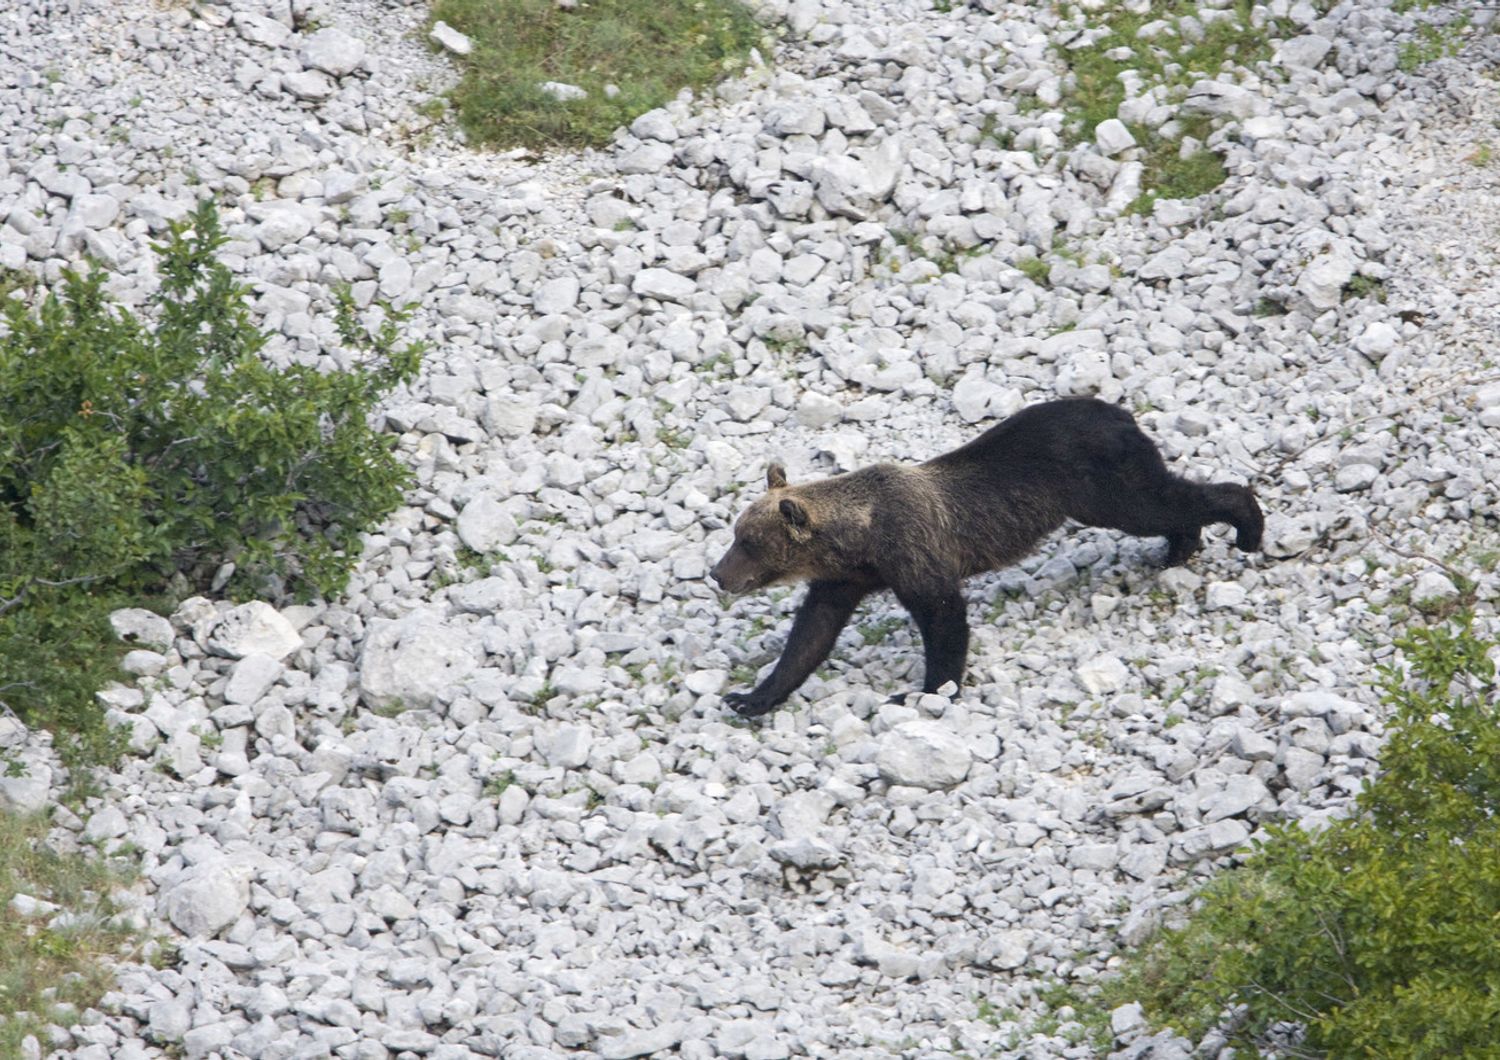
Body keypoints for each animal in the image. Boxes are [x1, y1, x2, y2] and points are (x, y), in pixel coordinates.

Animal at [708, 398, 1260, 722]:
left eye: (747, 541)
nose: (717, 573)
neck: (860, 538)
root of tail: (1121, 411)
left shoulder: (912, 550)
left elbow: (944, 618)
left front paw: (923, 692)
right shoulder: (845, 577)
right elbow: (811, 634)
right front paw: (750, 696)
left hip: (1098, 482)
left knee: (1157, 502)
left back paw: (1246, 527)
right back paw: (1178, 546)